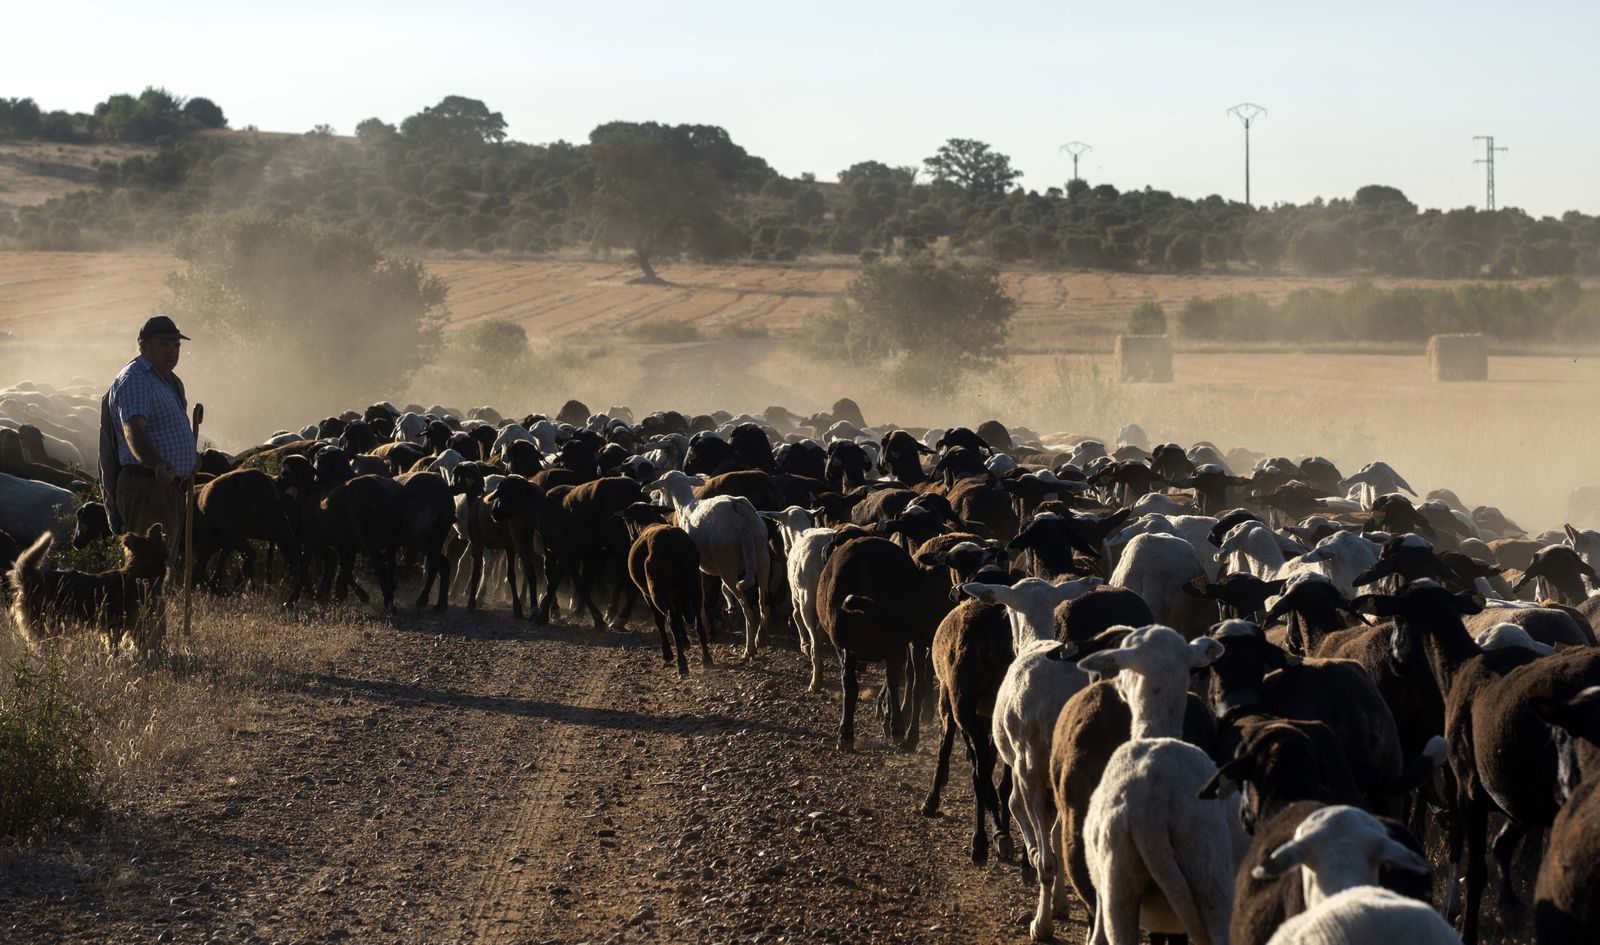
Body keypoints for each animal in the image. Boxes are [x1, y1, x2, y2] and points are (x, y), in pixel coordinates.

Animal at [647, 471, 772, 661]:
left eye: (661, 488)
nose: (660, 505)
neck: (684, 507)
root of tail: (740, 513)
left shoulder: (697, 568)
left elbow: (702, 596)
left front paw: (704, 626)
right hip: (762, 554)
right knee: (763, 603)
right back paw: (760, 639)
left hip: (727, 564)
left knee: (749, 611)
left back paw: (748, 650)